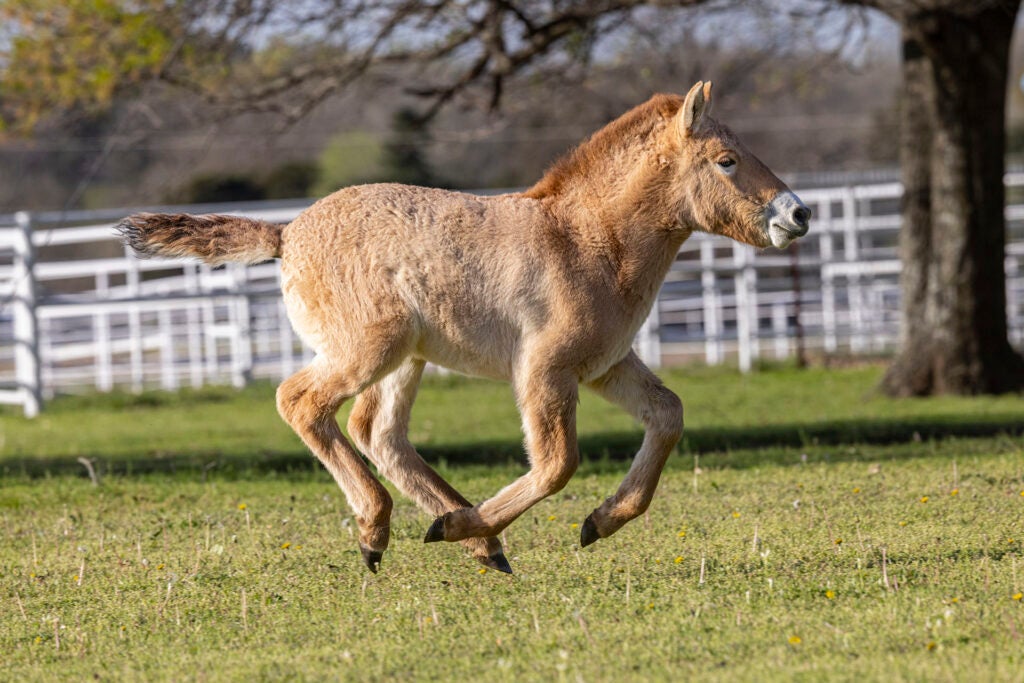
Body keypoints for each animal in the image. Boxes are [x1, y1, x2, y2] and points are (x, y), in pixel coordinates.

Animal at [119, 81, 810, 575]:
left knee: (378, 432)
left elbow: (667, 416)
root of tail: (286, 235)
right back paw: (388, 528)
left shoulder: (607, 365)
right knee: (303, 402)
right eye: (726, 161)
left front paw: (600, 521)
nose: (798, 214)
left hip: (407, 360)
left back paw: (474, 541)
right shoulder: (544, 370)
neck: (587, 240)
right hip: (370, 349)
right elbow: (557, 464)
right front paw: (487, 525)